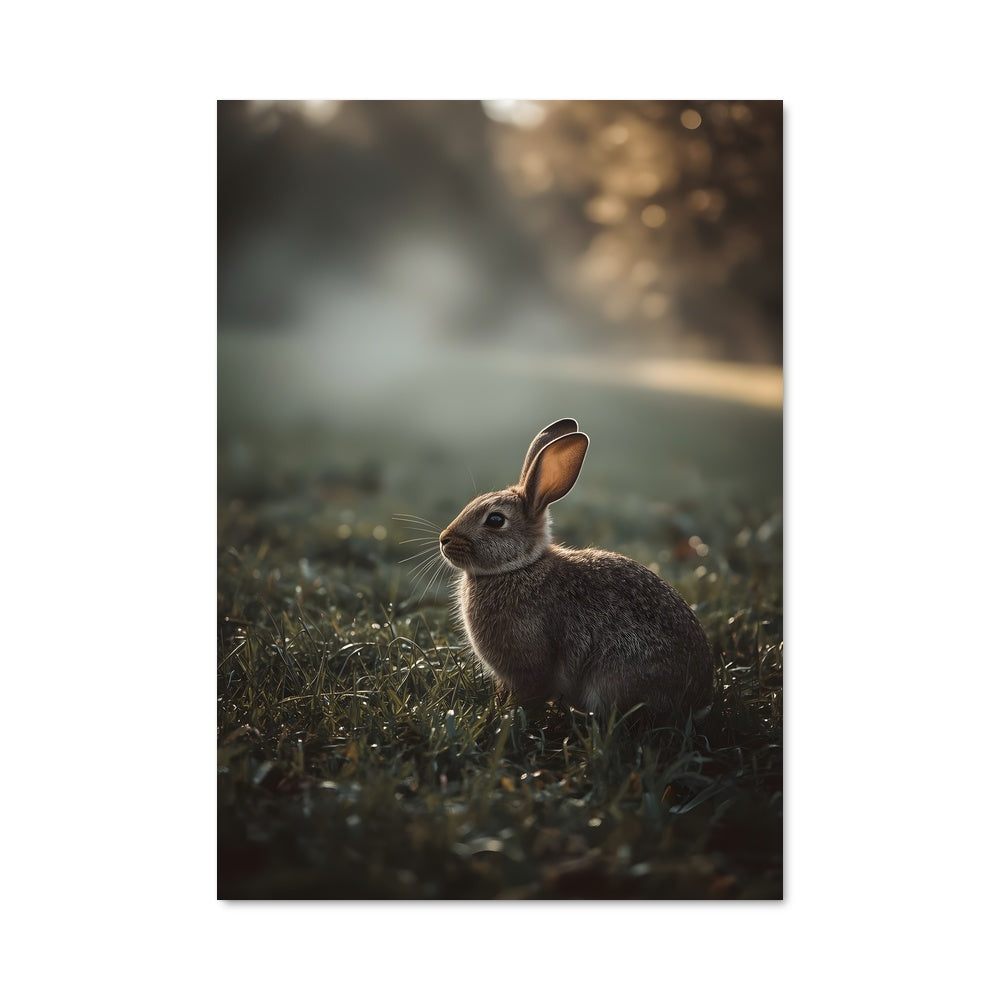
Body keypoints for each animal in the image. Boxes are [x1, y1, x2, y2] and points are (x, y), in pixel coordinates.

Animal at [438, 418, 714, 723]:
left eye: (495, 520)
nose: (444, 540)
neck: (519, 567)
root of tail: (697, 701)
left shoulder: (530, 663)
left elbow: (529, 693)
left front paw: (507, 715)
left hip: (614, 674)